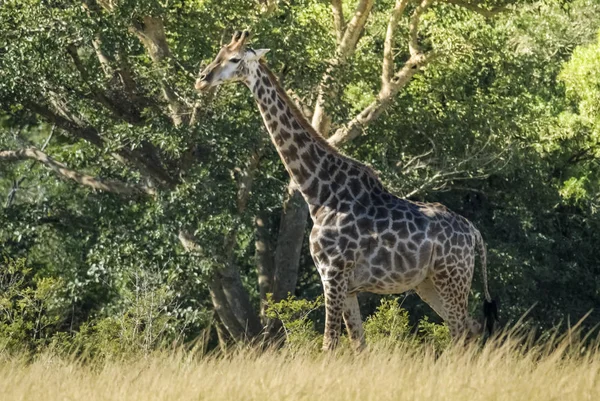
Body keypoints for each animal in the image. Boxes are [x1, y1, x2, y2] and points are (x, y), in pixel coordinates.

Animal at [196, 32, 496, 350]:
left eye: (234, 59)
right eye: (218, 52)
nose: (202, 79)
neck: (318, 193)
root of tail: (474, 233)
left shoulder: (333, 274)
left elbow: (330, 343)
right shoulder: (348, 286)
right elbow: (358, 344)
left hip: (451, 277)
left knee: (462, 330)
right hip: (428, 283)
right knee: (469, 328)